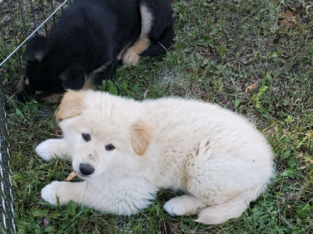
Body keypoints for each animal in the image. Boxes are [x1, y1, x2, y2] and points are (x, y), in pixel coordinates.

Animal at [17, 0, 173, 102]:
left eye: (40, 93)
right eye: (25, 80)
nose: (18, 99)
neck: (70, 42)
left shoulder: (107, 64)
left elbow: (88, 86)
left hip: (150, 7)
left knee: (147, 36)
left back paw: (131, 54)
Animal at [36, 89, 272, 225]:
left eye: (110, 147)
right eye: (85, 136)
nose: (85, 169)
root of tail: (268, 169)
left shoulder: (129, 194)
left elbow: (86, 191)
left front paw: (55, 192)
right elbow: (70, 148)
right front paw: (50, 147)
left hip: (203, 166)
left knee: (215, 199)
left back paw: (178, 205)